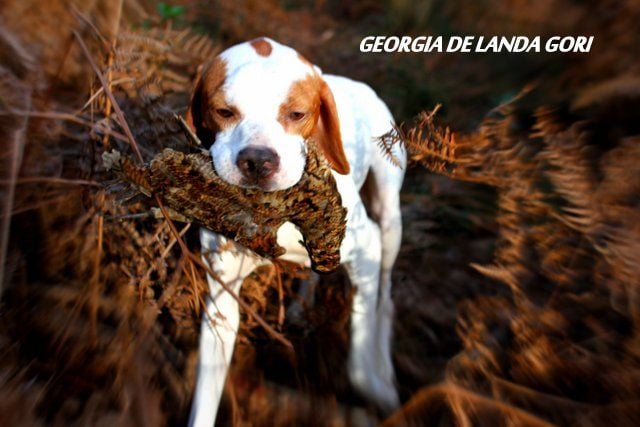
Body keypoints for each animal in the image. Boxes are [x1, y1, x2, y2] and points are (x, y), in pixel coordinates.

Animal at [186, 37, 404, 427]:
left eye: (297, 114)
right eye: (224, 111)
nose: (258, 160)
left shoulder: (368, 250)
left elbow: (359, 363)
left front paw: (377, 392)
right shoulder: (222, 306)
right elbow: (203, 405)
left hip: (390, 219)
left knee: (385, 298)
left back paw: (384, 365)